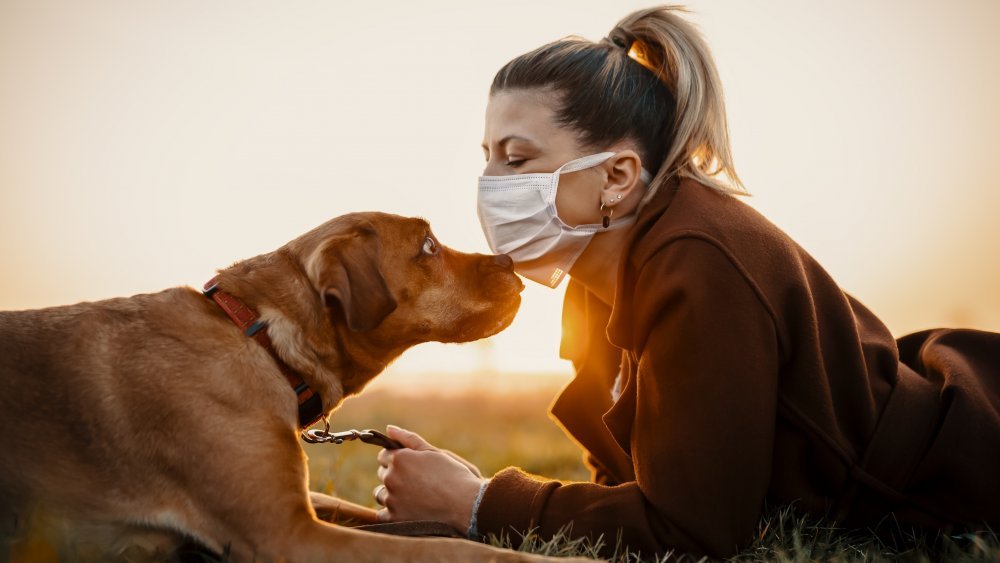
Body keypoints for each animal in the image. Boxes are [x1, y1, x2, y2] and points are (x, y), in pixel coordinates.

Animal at [0, 213, 584, 563]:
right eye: (428, 246)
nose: (510, 261)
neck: (264, 342)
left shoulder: (305, 509)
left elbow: (400, 520)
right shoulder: (290, 537)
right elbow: (454, 551)